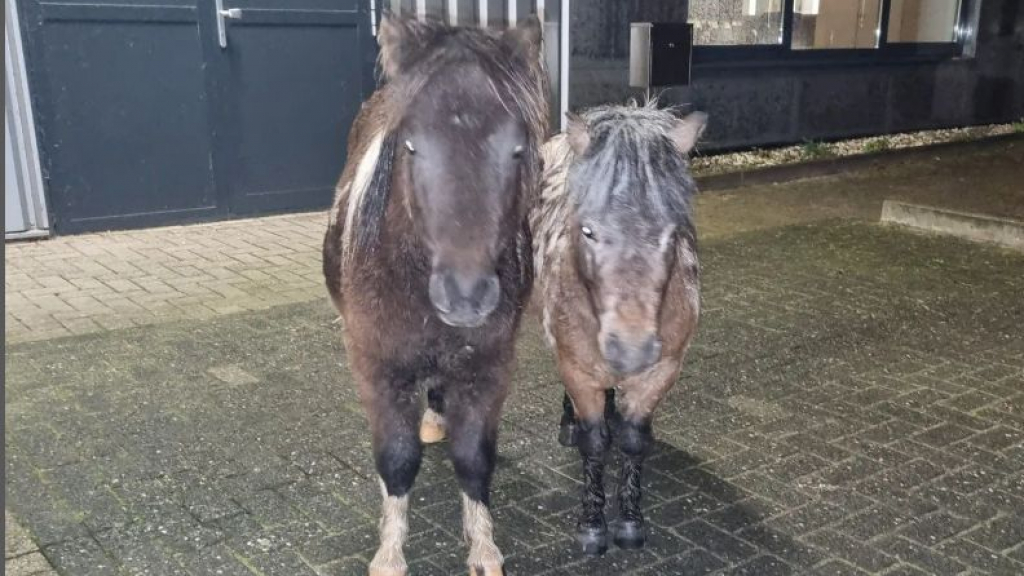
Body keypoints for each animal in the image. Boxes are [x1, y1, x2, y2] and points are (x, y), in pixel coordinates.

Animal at [322, 15, 548, 576]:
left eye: (516, 149)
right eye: (411, 147)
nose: (465, 296)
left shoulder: (488, 367)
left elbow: (474, 458)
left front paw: (484, 548)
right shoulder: (378, 369)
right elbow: (397, 460)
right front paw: (389, 553)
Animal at [530, 103, 707, 556]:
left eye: (673, 232)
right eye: (588, 230)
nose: (630, 350)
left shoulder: (661, 373)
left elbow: (632, 440)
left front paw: (629, 521)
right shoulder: (577, 368)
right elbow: (595, 444)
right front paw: (592, 525)